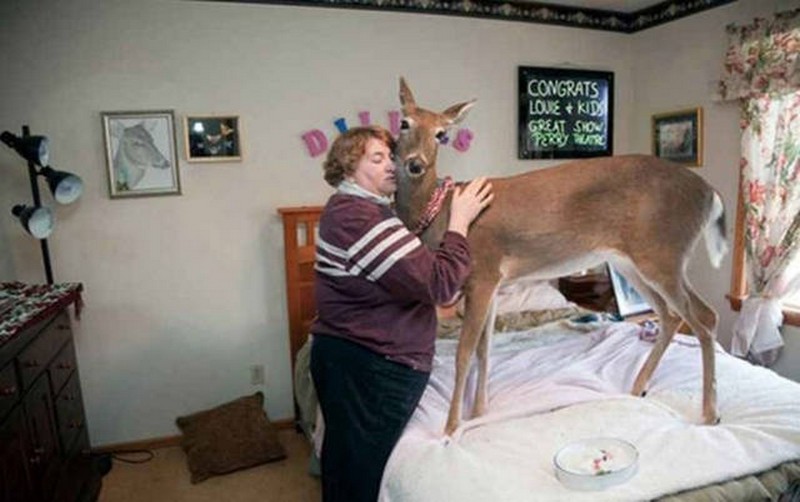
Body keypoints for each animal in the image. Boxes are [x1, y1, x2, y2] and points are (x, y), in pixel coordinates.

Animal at [392, 78, 728, 437]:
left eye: (442, 134)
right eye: (405, 123)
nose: (416, 164)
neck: (442, 214)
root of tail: (711, 194)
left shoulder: (483, 272)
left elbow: (465, 352)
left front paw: (451, 427)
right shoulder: (493, 282)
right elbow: (485, 348)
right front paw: (479, 412)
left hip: (664, 252)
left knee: (705, 316)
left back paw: (710, 413)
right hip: (634, 261)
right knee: (671, 315)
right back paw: (639, 387)